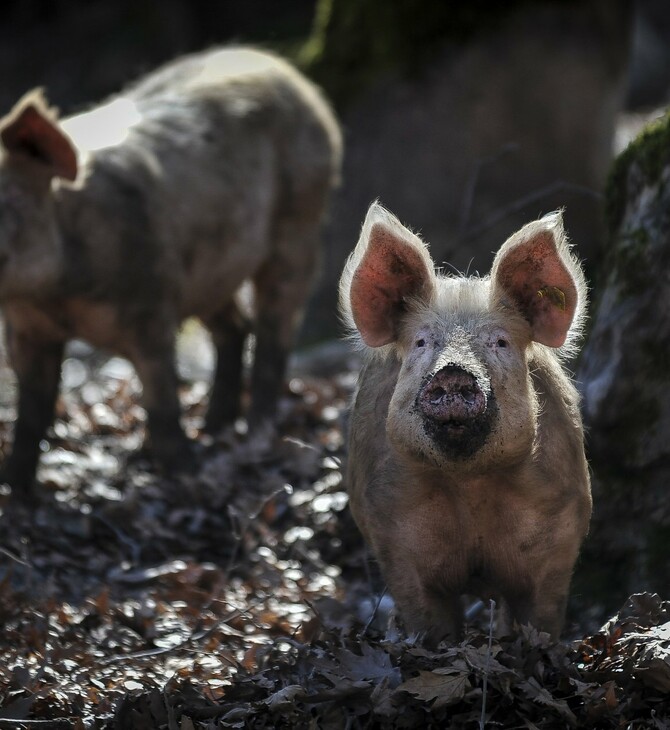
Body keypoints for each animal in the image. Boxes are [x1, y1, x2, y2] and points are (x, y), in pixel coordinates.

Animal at [0, 47, 342, 494]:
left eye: (8, 202)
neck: (58, 298)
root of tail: (290, 74)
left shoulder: (151, 305)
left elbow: (162, 399)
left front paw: (185, 475)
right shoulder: (26, 328)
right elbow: (31, 412)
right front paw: (16, 492)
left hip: (300, 225)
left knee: (275, 330)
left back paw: (255, 433)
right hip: (212, 271)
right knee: (235, 327)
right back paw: (215, 428)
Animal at [342, 202, 592, 640]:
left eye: (500, 342)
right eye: (422, 342)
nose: (454, 373)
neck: (469, 485)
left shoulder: (559, 533)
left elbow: (539, 620)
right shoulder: (395, 539)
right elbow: (429, 623)